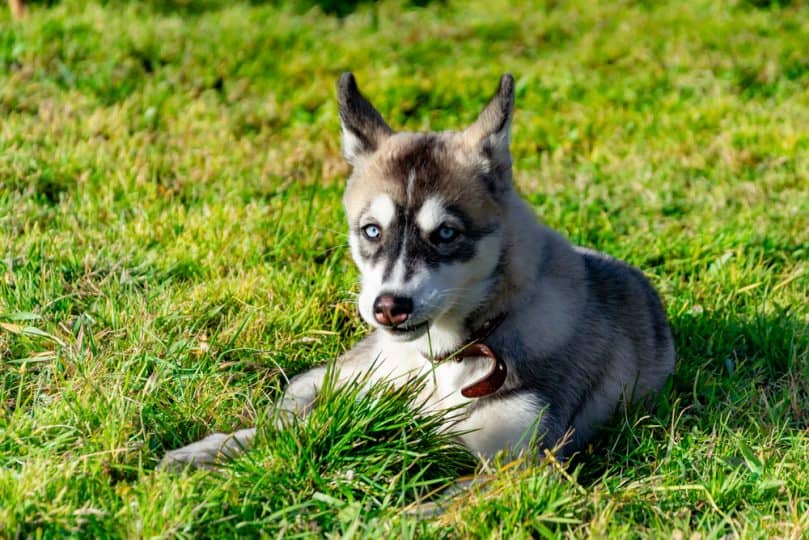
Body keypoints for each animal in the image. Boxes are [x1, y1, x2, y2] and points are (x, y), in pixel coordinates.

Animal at [159, 71, 676, 468]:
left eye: (445, 233)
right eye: (371, 230)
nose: (388, 307)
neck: (448, 356)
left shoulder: (518, 467)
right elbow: (298, 425)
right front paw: (211, 450)